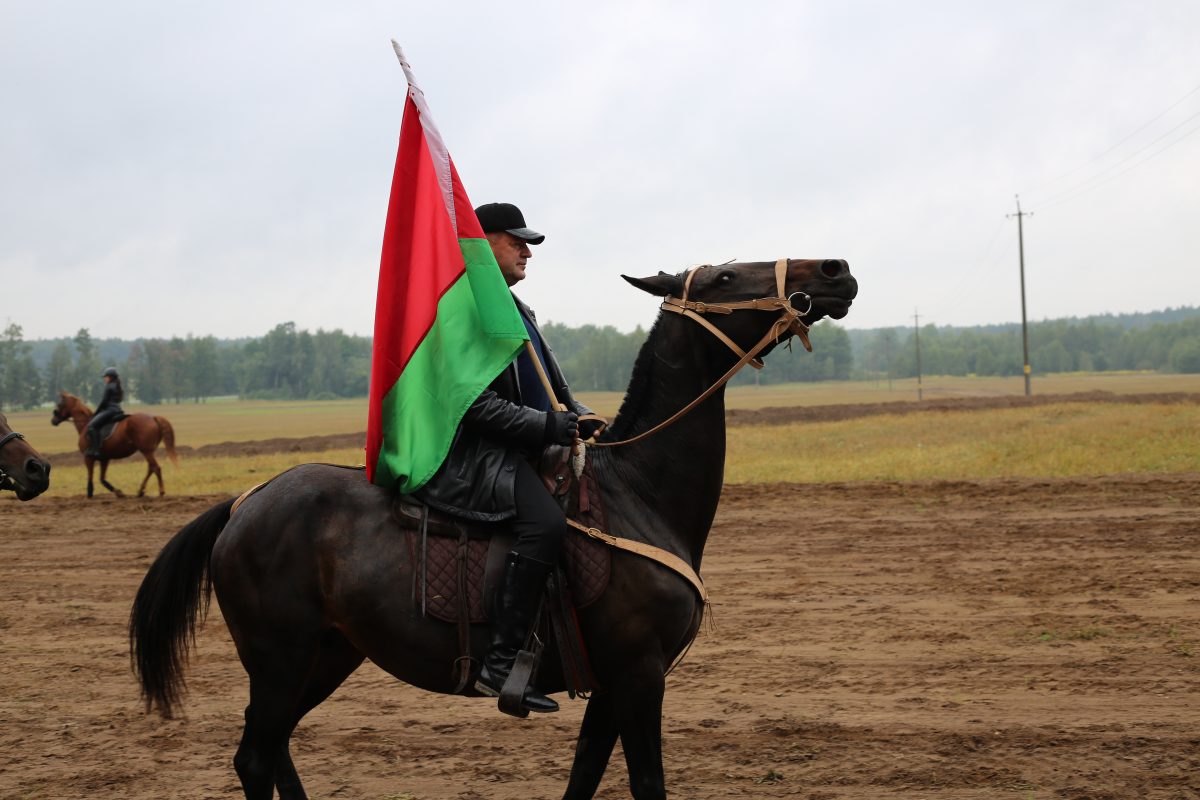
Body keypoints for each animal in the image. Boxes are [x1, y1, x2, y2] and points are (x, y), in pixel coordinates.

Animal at [131, 260, 859, 796]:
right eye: (727, 277)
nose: (835, 270)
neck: (638, 490)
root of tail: (244, 503)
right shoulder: (639, 674)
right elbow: (646, 783)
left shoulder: (613, 683)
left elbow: (583, 779)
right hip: (280, 658)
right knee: (255, 757)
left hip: (327, 654)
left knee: (274, 747)